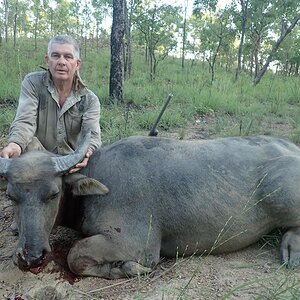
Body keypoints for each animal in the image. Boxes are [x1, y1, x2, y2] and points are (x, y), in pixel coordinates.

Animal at [0, 134, 300, 278]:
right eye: (12, 196)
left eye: (53, 194)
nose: (32, 256)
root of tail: (291, 148)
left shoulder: (138, 244)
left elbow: (75, 255)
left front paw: (125, 268)